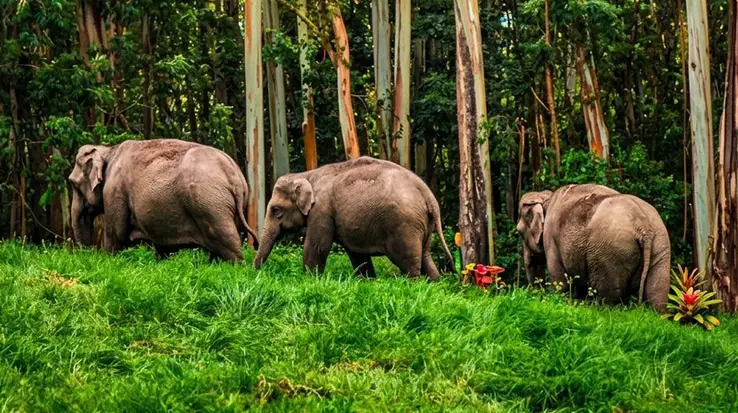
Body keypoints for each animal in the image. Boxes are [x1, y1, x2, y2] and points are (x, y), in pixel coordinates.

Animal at [68, 138, 259, 262]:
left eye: (72, 183)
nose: (86, 256)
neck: (109, 150)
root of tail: (234, 176)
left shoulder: (114, 192)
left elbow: (116, 235)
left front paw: (109, 261)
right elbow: (162, 246)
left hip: (210, 204)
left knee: (228, 242)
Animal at [252, 156, 454, 280]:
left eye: (276, 210)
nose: (256, 272)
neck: (306, 175)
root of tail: (428, 194)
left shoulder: (321, 210)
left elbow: (317, 247)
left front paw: (310, 279)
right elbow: (357, 254)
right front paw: (367, 281)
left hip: (405, 226)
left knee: (408, 261)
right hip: (423, 224)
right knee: (426, 257)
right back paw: (435, 284)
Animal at [516, 184, 671, 311]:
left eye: (518, 231)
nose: (537, 298)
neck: (546, 197)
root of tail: (642, 224)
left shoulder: (551, 239)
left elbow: (560, 281)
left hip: (610, 252)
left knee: (608, 296)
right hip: (660, 243)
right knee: (657, 293)